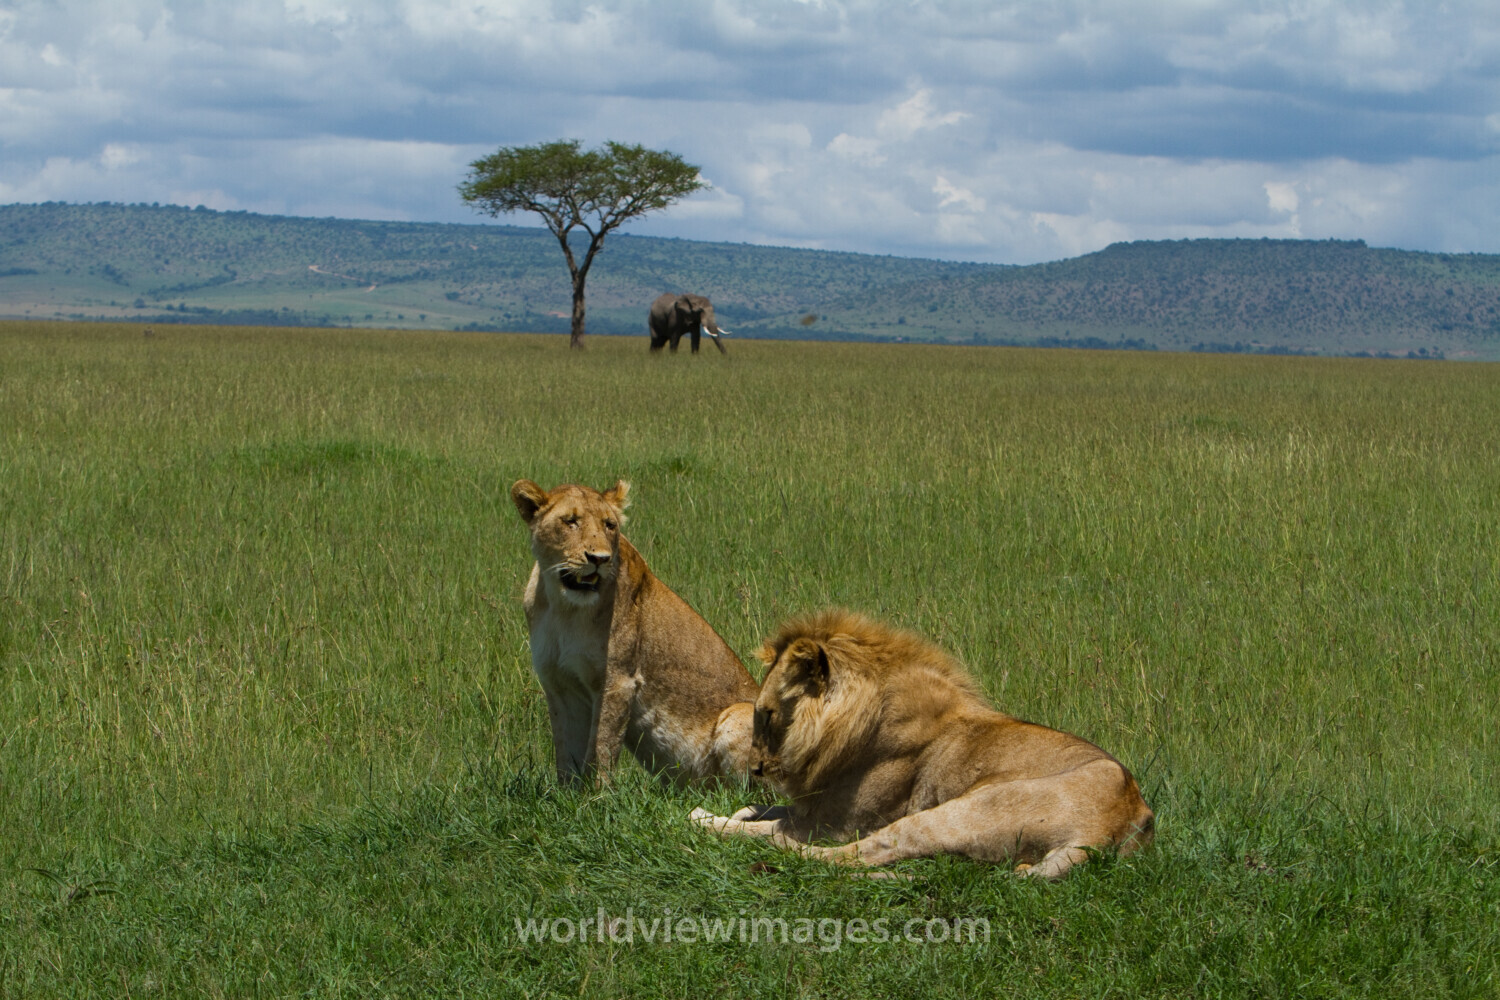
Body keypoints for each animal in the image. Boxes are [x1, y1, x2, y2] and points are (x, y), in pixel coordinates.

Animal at [511, 479, 760, 786]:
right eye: (570, 521)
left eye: (609, 525)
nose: (599, 558)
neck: (564, 608)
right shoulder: (559, 683)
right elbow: (566, 754)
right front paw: (567, 795)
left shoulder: (618, 682)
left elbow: (601, 749)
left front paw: (596, 795)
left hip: (740, 714)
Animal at [691, 610, 1154, 878]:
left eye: (768, 714)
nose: (755, 769)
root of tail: (1131, 816)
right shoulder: (819, 805)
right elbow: (767, 808)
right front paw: (744, 808)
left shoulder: (835, 823)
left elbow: (770, 825)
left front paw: (715, 818)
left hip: (960, 812)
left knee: (846, 855)